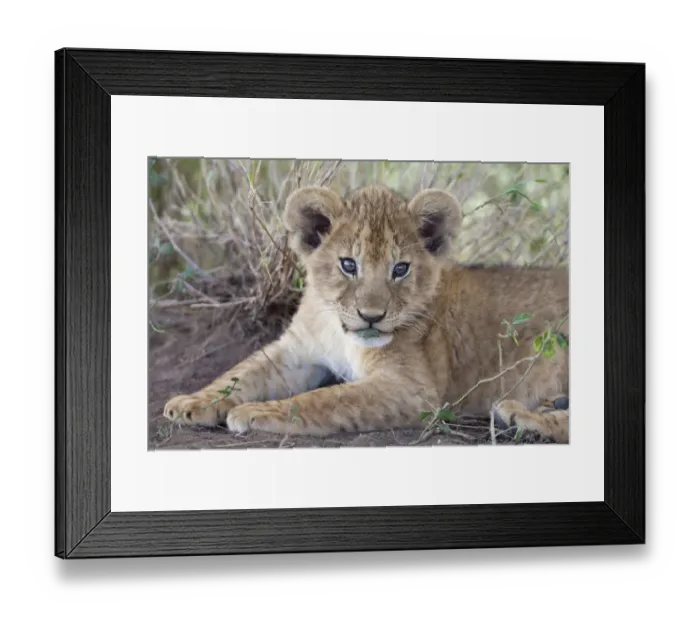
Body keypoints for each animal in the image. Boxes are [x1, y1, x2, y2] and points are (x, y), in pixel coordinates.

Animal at [163, 185, 570, 443]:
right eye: (348, 264)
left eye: (400, 269)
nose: (371, 316)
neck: (338, 330)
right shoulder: (296, 351)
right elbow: (240, 373)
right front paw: (190, 404)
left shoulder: (412, 390)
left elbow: (326, 399)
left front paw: (256, 412)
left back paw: (522, 416)